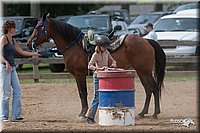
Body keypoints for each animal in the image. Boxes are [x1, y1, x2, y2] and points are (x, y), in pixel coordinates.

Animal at [27, 13, 166, 119]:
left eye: (38, 26)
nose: (28, 43)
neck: (75, 46)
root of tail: (146, 41)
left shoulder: (79, 74)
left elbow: (83, 93)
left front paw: (83, 114)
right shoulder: (77, 75)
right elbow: (81, 93)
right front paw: (83, 113)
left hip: (144, 71)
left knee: (153, 88)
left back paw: (155, 113)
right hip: (142, 72)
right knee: (148, 89)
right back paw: (143, 113)